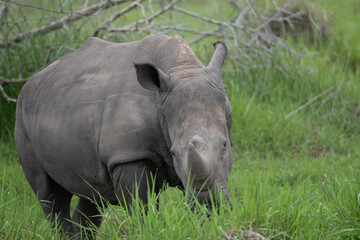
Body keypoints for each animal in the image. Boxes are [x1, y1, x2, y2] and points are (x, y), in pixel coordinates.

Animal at [14, 33, 233, 238]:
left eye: (225, 145)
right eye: (174, 153)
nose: (208, 203)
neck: (182, 69)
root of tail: (29, 83)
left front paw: (209, 224)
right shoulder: (128, 154)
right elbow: (141, 206)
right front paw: (146, 232)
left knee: (93, 195)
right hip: (22, 116)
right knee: (49, 195)